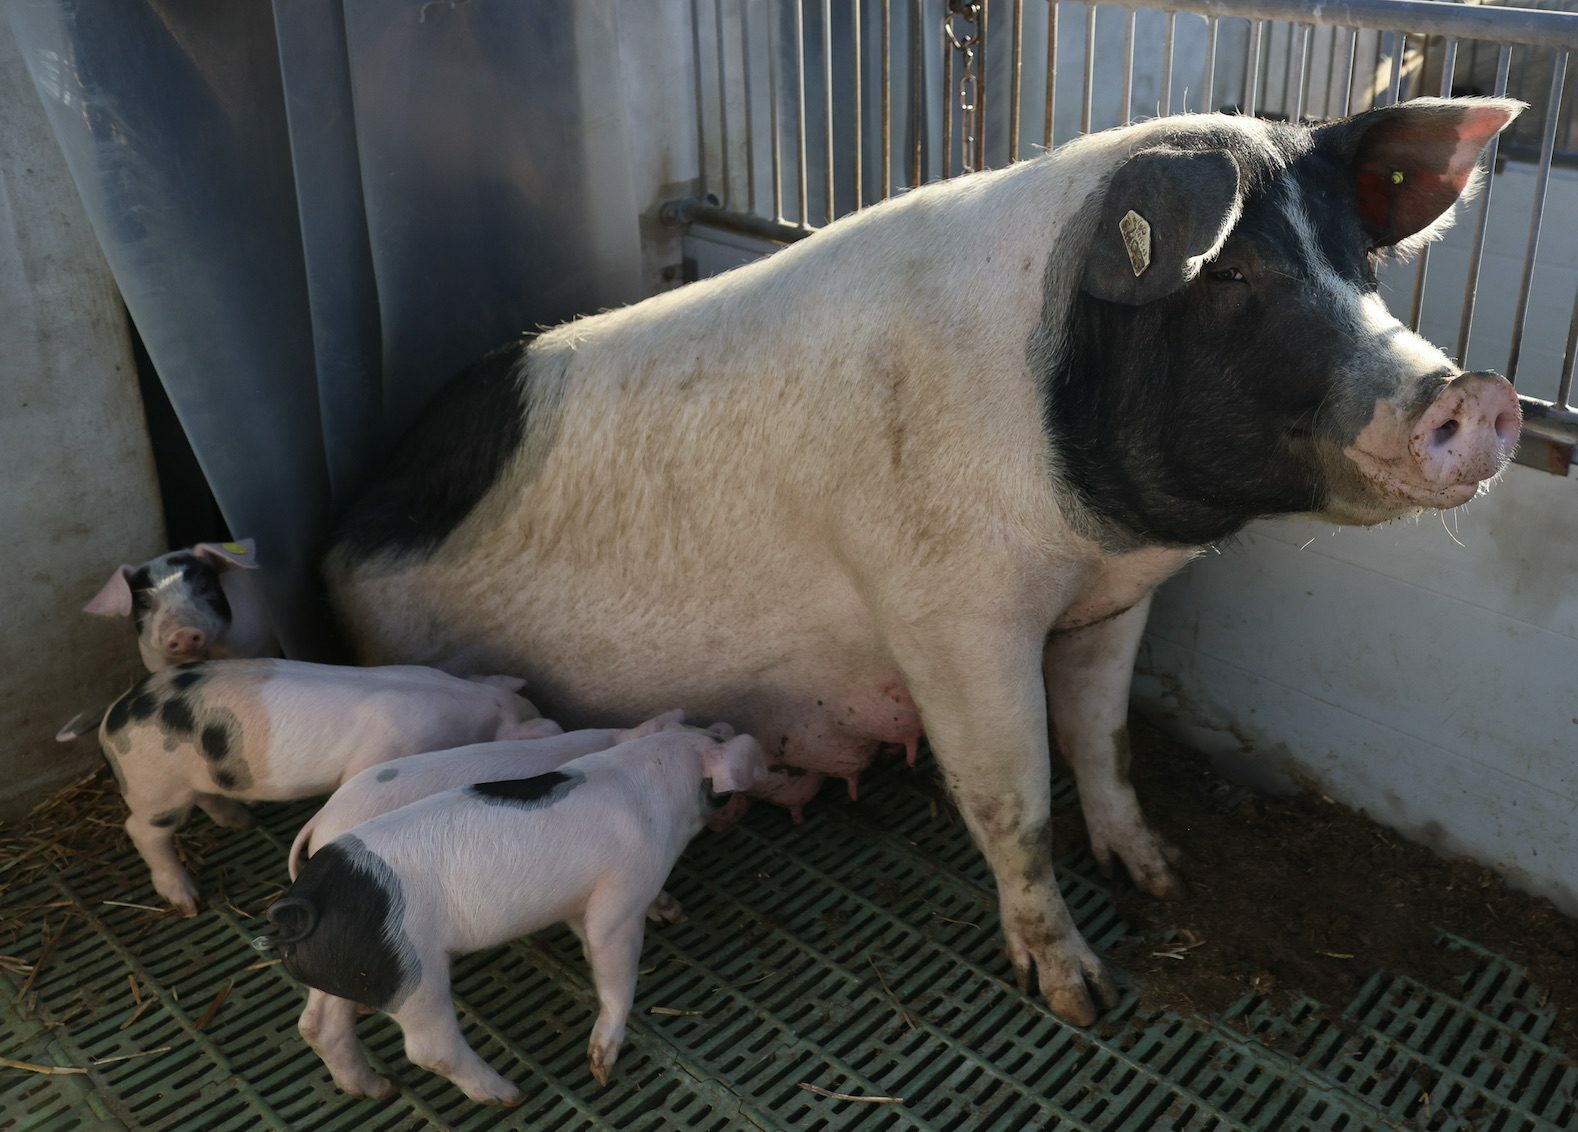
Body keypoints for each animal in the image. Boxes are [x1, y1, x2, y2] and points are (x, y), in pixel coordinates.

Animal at [97, 656, 555, 915]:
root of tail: (112, 719)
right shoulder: (382, 752)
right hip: (156, 787)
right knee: (141, 830)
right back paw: (188, 901)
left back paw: (242, 820)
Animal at [323, 103, 1527, 1023]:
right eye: (1233, 272)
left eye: (1363, 265)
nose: (1475, 392)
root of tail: (341, 533)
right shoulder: (950, 616)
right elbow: (1013, 800)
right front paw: (1080, 997)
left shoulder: (1112, 603)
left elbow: (1104, 741)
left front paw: (1160, 872)